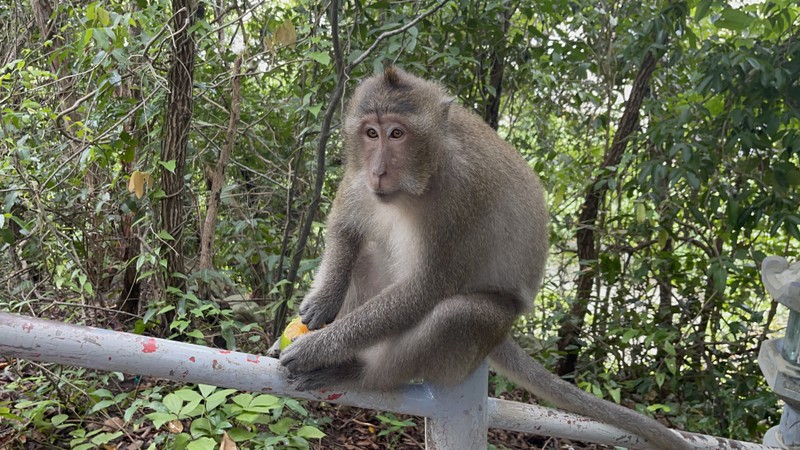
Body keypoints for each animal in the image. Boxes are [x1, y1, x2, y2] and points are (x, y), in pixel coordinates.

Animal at [276, 67, 692, 450]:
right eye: (370, 134)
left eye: (397, 133)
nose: (378, 170)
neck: (426, 174)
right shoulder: (358, 172)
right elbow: (346, 227)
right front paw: (322, 303)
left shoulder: (462, 196)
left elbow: (427, 289)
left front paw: (318, 348)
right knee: (366, 259)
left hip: (491, 324)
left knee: (459, 314)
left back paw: (357, 372)